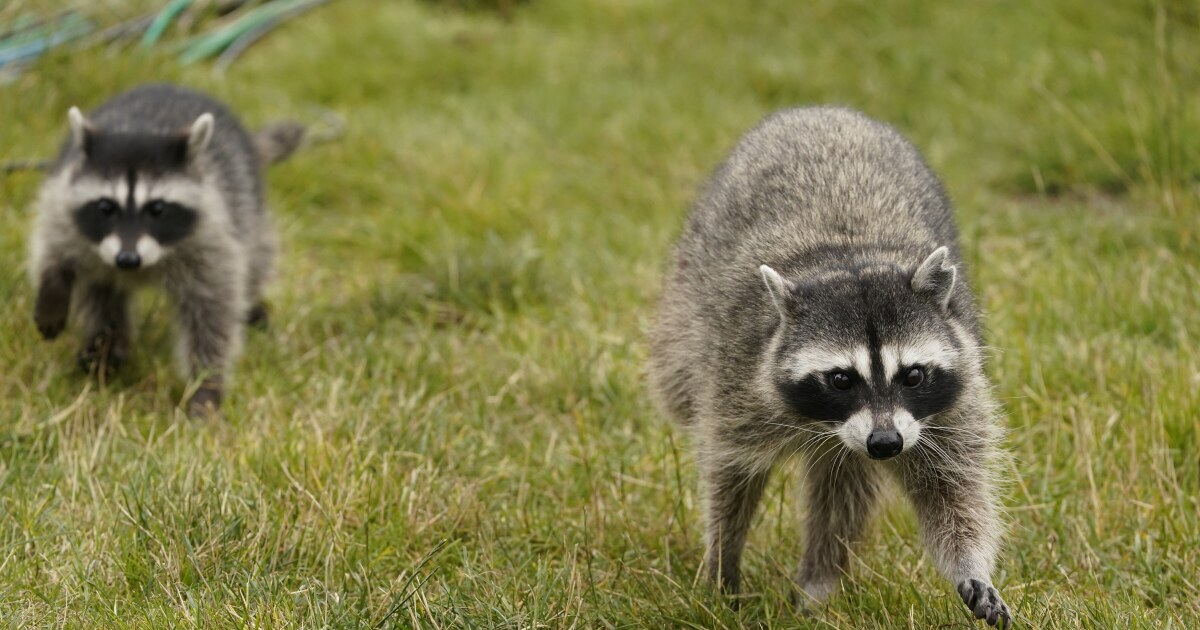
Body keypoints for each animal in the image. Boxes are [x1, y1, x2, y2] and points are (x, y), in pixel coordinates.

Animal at [29, 84, 302, 417]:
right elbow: (53, 240)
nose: (127, 259)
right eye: (106, 207)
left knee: (257, 253)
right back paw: (106, 346)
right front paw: (52, 288)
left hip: (245, 198)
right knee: (101, 294)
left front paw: (206, 384)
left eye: (157, 208)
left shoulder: (212, 229)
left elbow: (212, 312)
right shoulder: (63, 195)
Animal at [648, 107, 1011, 626]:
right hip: (686, 298)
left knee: (844, 488)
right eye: (841, 379)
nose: (886, 443)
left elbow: (954, 488)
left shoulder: (953, 398)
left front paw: (971, 564)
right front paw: (722, 562)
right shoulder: (737, 374)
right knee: (677, 382)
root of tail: (822, 109)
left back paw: (819, 584)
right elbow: (731, 474)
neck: (851, 255)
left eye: (913, 375)